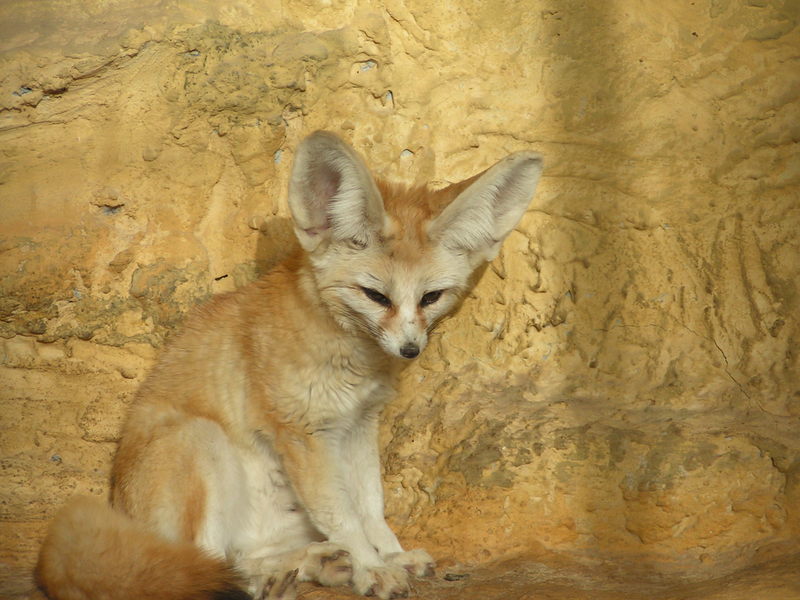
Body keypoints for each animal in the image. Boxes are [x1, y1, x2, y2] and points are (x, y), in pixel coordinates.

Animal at [32, 131, 544, 600]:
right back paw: (278, 577)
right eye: (376, 296)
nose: (410, 350)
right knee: (205, 566)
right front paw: (372, 568)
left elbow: (370, 507)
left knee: (242, 556)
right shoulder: (305, 435)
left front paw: (390, 555)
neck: (349, 356)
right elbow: (345, 517)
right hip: (201, 441)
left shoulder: (358, 425)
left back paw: (310, 564)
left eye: (430, 298)